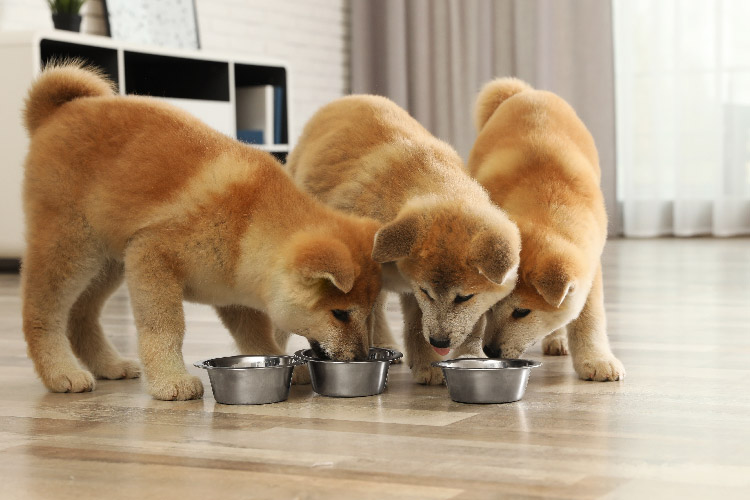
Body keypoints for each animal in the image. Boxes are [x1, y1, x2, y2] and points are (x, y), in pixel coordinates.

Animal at [20, 64, 384, 400]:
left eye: (368, 314)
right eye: (340, 314)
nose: (360, 357)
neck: (249, 224)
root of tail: (58, 111)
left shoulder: (233, 294)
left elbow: (256, 337)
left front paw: (281, 363)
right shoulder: (152, 257)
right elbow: (164, 329)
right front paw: (170, 380)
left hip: (110, 261)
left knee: (80, 315)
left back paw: (109, 364)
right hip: (72, 248)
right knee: (42, 314)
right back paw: (60, 371)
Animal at [284, 94, 524, 382]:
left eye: (465, 297)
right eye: (426, 291)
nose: (440, 342)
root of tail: (348, 98)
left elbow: (419, 324)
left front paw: (432, 364)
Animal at [470, 78, 628, 380]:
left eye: (522, 312)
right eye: (493, 306)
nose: (491, 351)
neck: (545, 207)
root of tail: (526, 93)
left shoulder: (590, 267)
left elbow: (589, 318)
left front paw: (595, 359)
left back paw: (557, 339)